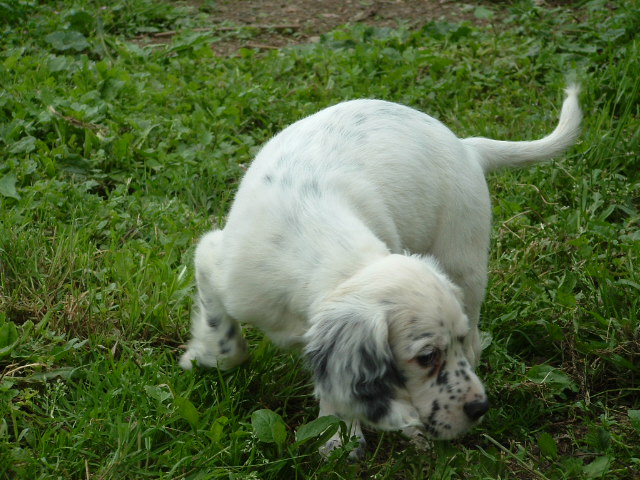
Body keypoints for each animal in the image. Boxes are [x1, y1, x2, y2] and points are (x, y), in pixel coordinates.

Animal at [179, 87, 580, 458]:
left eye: (447, 346)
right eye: (426, 357)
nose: (480, 407)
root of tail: (466, 146)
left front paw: (342, 436)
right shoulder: (216, 261)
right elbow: (226, 340)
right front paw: (206, 356)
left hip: (463, 258)